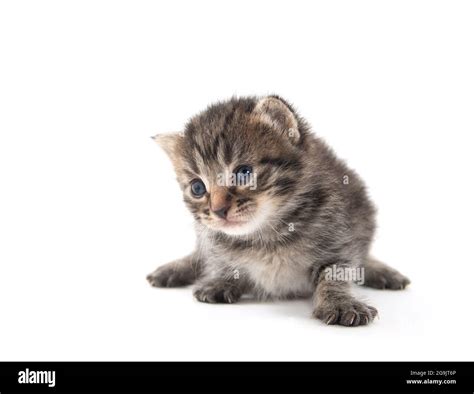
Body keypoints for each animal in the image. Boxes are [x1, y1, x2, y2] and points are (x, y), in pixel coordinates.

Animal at [146, 95, 410, 326]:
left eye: (243, 173)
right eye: (198, 187)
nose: (218, 210)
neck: (267, 233)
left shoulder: (339, 239)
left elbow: (335, 274)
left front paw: (340, 303)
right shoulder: (212, 239)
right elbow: (219, 260)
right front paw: (222, 280)